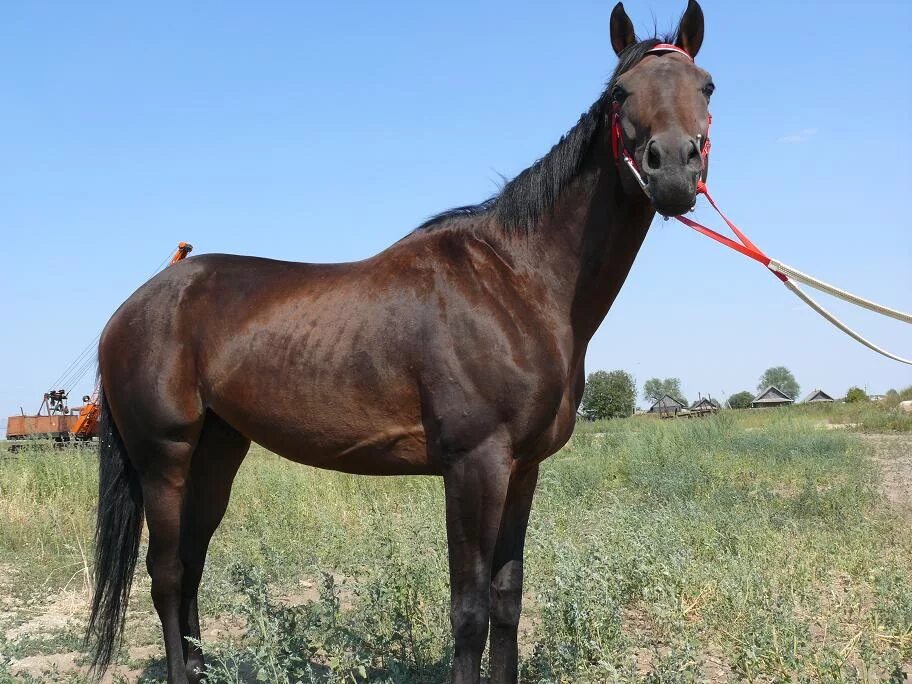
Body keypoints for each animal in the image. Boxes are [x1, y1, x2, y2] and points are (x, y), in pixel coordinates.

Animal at [85, 2, 712, 680]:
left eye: (706, 86)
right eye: (622, 92)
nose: (674, 169)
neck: (519, 281)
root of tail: (129, 310)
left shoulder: (523, 470)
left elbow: (507, 600)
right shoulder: (474, 465)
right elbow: (469, 610)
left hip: (218, 450)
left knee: (193, 564)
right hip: (164, 457)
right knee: (168, 575)